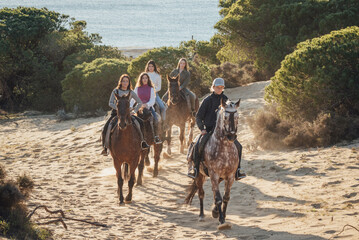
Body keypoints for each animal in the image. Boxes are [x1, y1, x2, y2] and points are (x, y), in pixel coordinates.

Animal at [186, 99, 242, 227]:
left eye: (237, 117)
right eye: (225, 117)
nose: (231, 136)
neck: (224, 149)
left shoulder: (230, 176)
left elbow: (225, 197)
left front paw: (221, 215)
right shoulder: (214, 174)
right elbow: (218, 198)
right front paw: (221, 220)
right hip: (200, 176)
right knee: (201, 193)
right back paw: (201, 215)